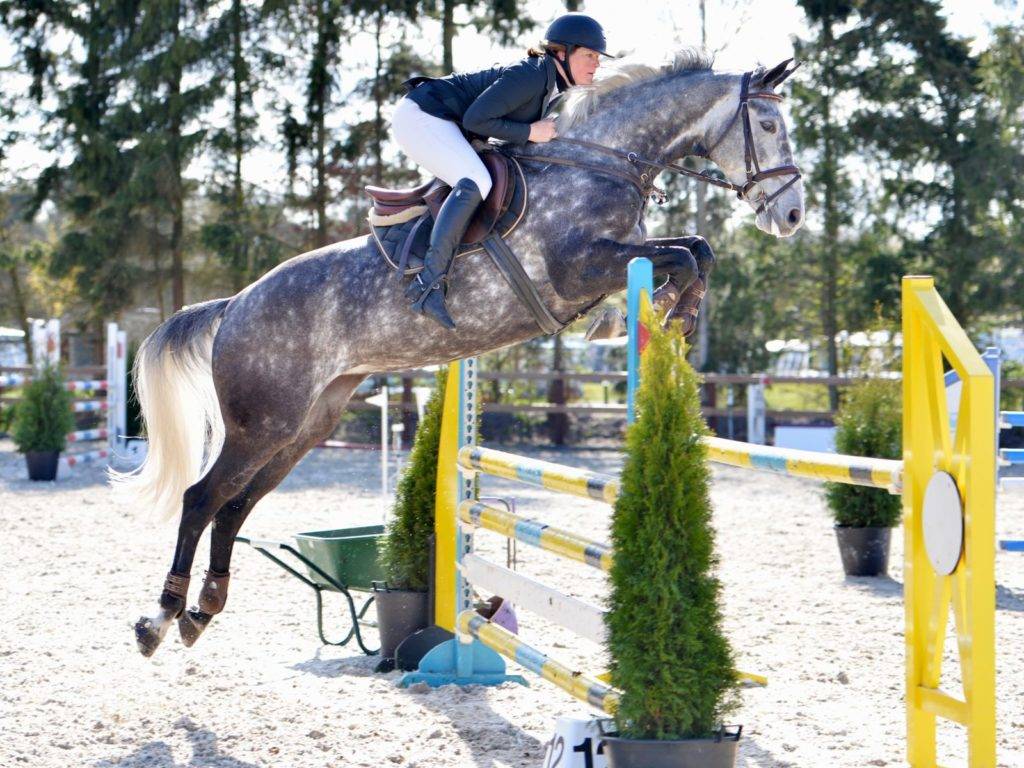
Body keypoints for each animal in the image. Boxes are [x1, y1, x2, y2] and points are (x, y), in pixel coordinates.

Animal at [123, 51, 805, 656]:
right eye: (769, 126)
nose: (793, 216)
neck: (601, 162)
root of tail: (234, 304)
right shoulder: (580, 269)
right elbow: (685, 254)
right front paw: (661, 312)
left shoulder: (614, 259)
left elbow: (696, 249)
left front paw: (669, 316)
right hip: (259, 424)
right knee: (201, 499)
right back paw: (161, 619)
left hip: (303, 425)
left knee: (236, 505)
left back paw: (203, 611)